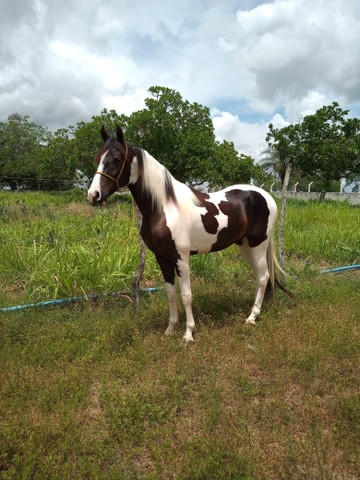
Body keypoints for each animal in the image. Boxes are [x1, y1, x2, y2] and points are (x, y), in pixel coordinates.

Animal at [88, 124, 286, 342]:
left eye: (116, 159)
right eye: (98, 157)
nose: (93, 195)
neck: (164, 207)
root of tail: (266, 196)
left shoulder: (181, 257)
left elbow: (186, 295)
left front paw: (188, 333)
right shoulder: (162, 258)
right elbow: (170, 293)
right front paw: (170, 329)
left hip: (258, 244)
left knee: (263, 276)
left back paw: (252, 317)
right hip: (245, 246)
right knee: (261, 275)